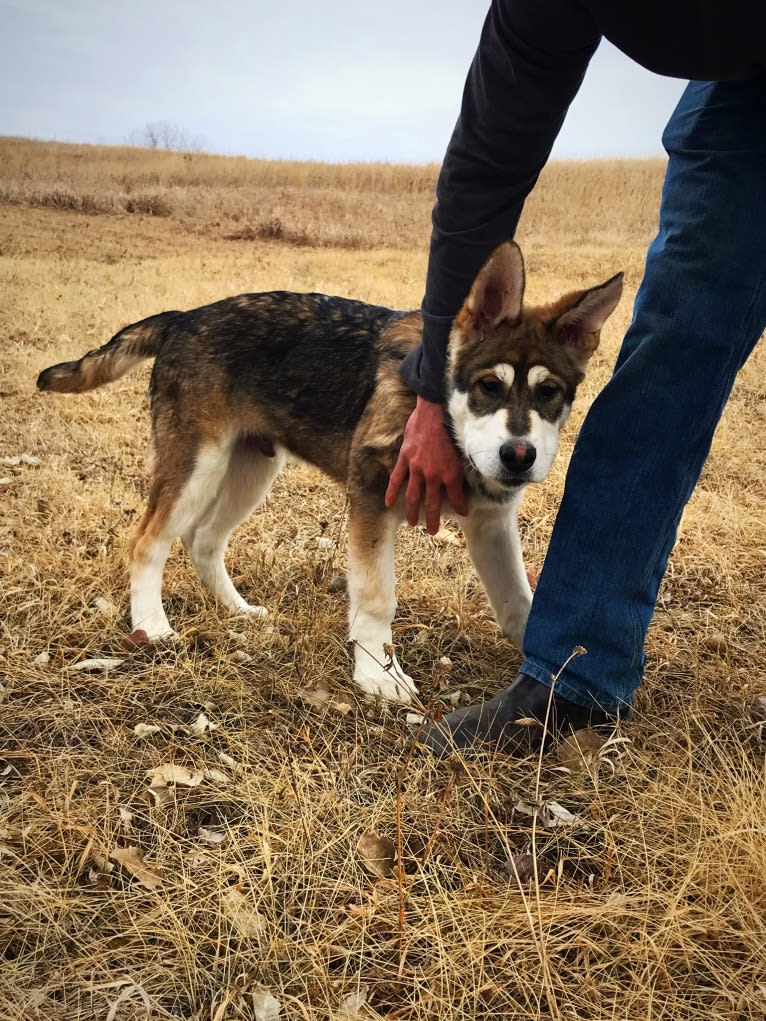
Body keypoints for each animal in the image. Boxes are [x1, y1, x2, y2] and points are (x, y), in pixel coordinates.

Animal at [34, 240, 625, 702]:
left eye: (549, 393)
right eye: (488, 386)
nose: (518, 457)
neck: (444, 420)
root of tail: (184, 317)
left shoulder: (490, 523)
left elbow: (521, 601)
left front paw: (551, 673)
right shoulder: (371, 496)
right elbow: (376, 596)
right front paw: (378, 674)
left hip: (251, 468)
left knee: (203, 540)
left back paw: (237, 610)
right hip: (197, 464)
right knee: (147, 542)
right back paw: (152, 627)